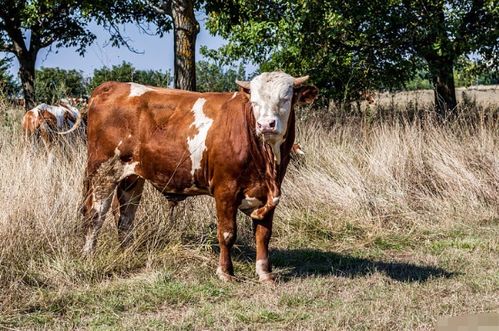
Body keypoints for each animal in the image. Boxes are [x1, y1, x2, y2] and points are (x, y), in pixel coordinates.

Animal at [80, 72, 318, 282]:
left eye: (285, 98)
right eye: (255, 102)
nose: (266, 125)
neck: (267, 160)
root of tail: (111, 86)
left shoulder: (268, 193)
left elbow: (263, 235)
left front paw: (264, 273)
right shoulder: (225, 190)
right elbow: (227, 233)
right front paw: (225, 273)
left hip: (132, 177)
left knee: (125, 216)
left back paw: (127, 252)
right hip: (103, 171)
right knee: (95, 215)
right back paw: (88, 256)